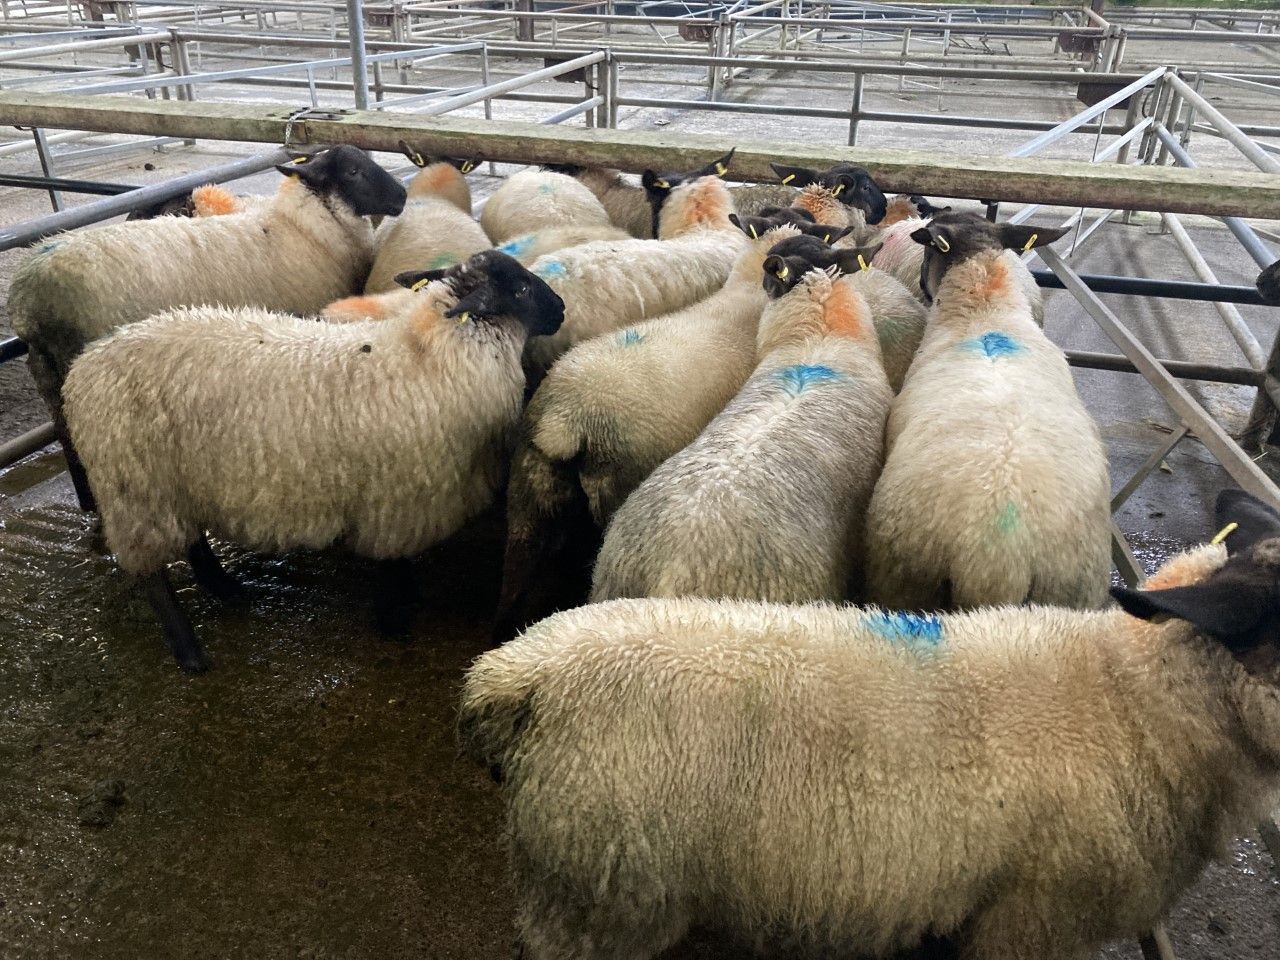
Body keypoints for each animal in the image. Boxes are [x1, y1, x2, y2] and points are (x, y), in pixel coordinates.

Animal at [7, 145, 406, 512]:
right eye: (353, 171)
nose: (402, 195)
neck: (304, 228)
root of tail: (28, 298)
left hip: (48, 377)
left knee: (67, 441)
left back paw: (88, 504)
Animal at [61, 250, 563, 672]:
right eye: (520, 290)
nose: (560, 309)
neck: (430, 351)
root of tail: (82, 369)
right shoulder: (397, 500)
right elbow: (392, 564)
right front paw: (394, 619)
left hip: (174, 481)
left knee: (194, 542)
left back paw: (227, 590)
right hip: (135, 487)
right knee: (153, 574)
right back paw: (190, 652)